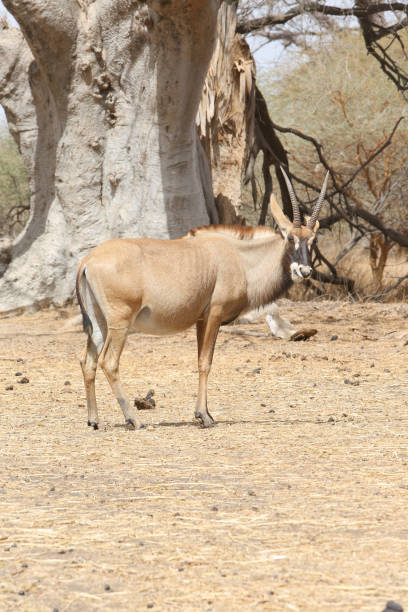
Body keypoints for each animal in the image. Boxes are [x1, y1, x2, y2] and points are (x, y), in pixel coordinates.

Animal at [75, 170, 328, 430]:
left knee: (87, 361)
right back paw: (133, 419)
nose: (304, 271)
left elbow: (200, 361)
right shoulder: (214, 314)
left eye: (313, 240)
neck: (239, 257)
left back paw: (93, 420)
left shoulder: (200, 320)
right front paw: (204, 416)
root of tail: (88, 261)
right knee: (109, 362)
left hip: (100, 324)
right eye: (290, 238)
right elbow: (206, 362)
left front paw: (204, 412)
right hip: (120, 323)